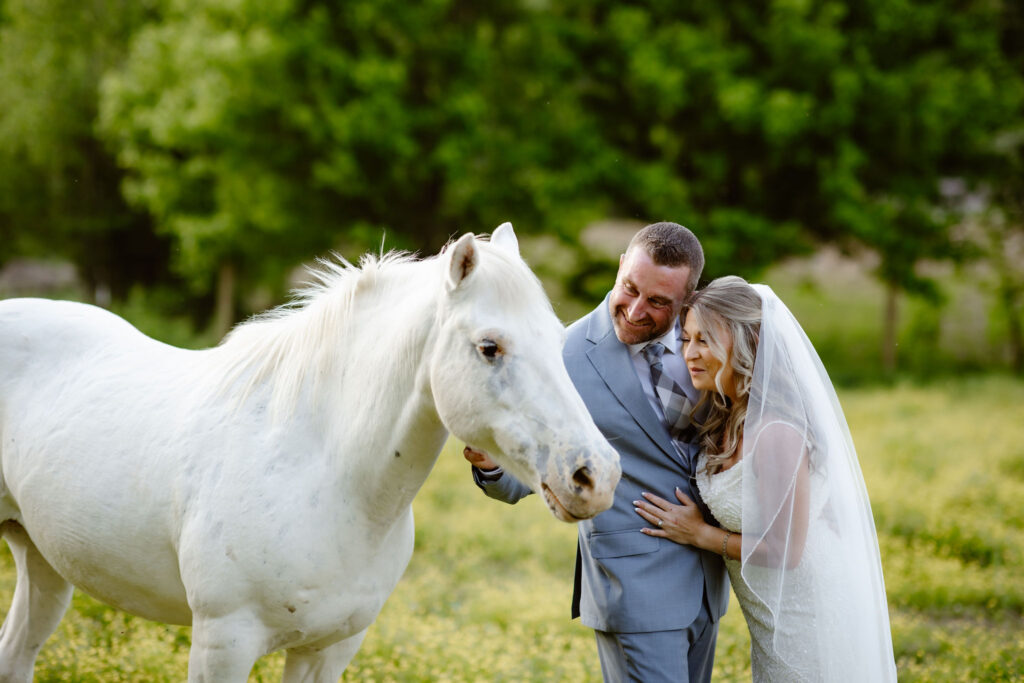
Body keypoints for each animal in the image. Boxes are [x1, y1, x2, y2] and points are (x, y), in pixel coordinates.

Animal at [0, 223, 621, 682]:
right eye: (489, 347)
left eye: (557, 339)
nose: (594, 476)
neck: (322, 473)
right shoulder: (223, 643)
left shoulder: (330, 648)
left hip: (44, 564)